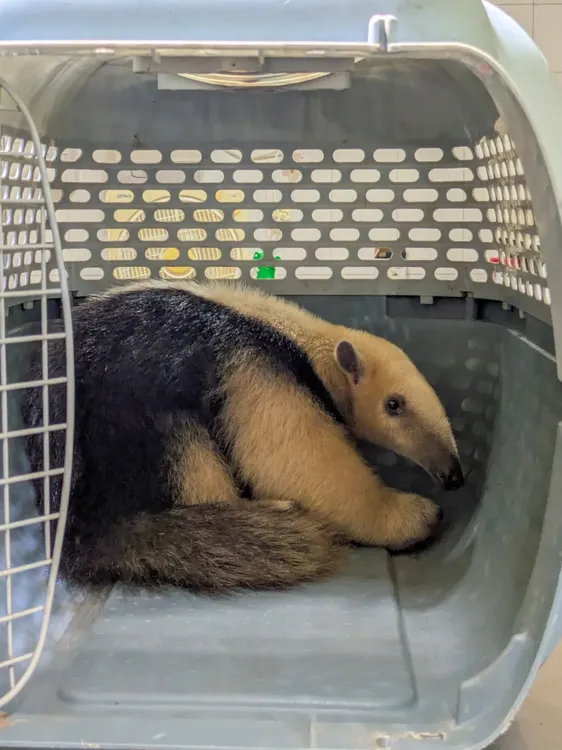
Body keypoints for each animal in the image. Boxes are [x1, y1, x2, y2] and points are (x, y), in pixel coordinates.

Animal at [22, 280, 463, 593]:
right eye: (394, 405)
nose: (454, 477)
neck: (301, 341)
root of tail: (75, 533)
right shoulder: (253, 371)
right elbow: (299, 463)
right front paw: (416, 515)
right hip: (134, 430)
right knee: (190, 459)